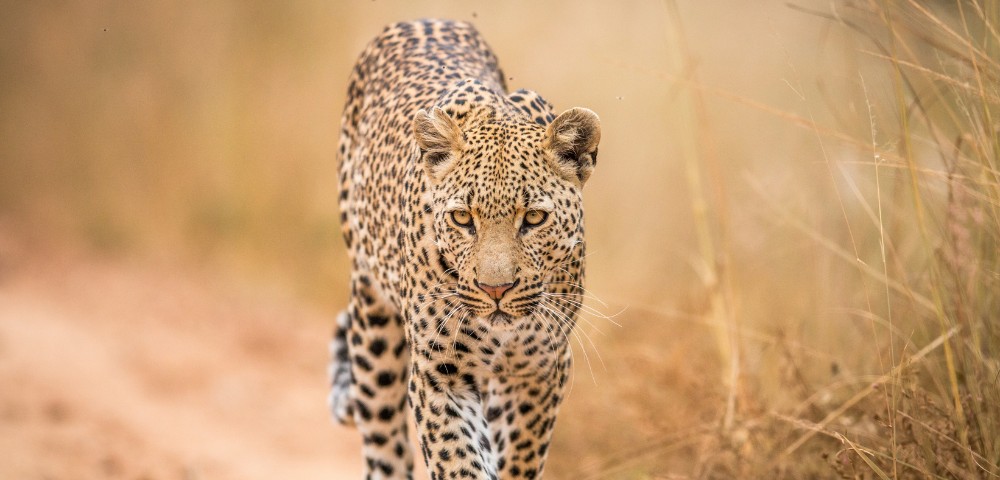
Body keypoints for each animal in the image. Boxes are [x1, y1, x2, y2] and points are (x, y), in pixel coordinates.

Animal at [328, 19, 601, 480]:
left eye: (533, 218)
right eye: (461, 219)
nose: (496, 290)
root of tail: (421, 19)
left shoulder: (541, 370)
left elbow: (520, 456)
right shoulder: (439, 373)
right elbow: (459, 459)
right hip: (371, 318)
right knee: (383, 437)